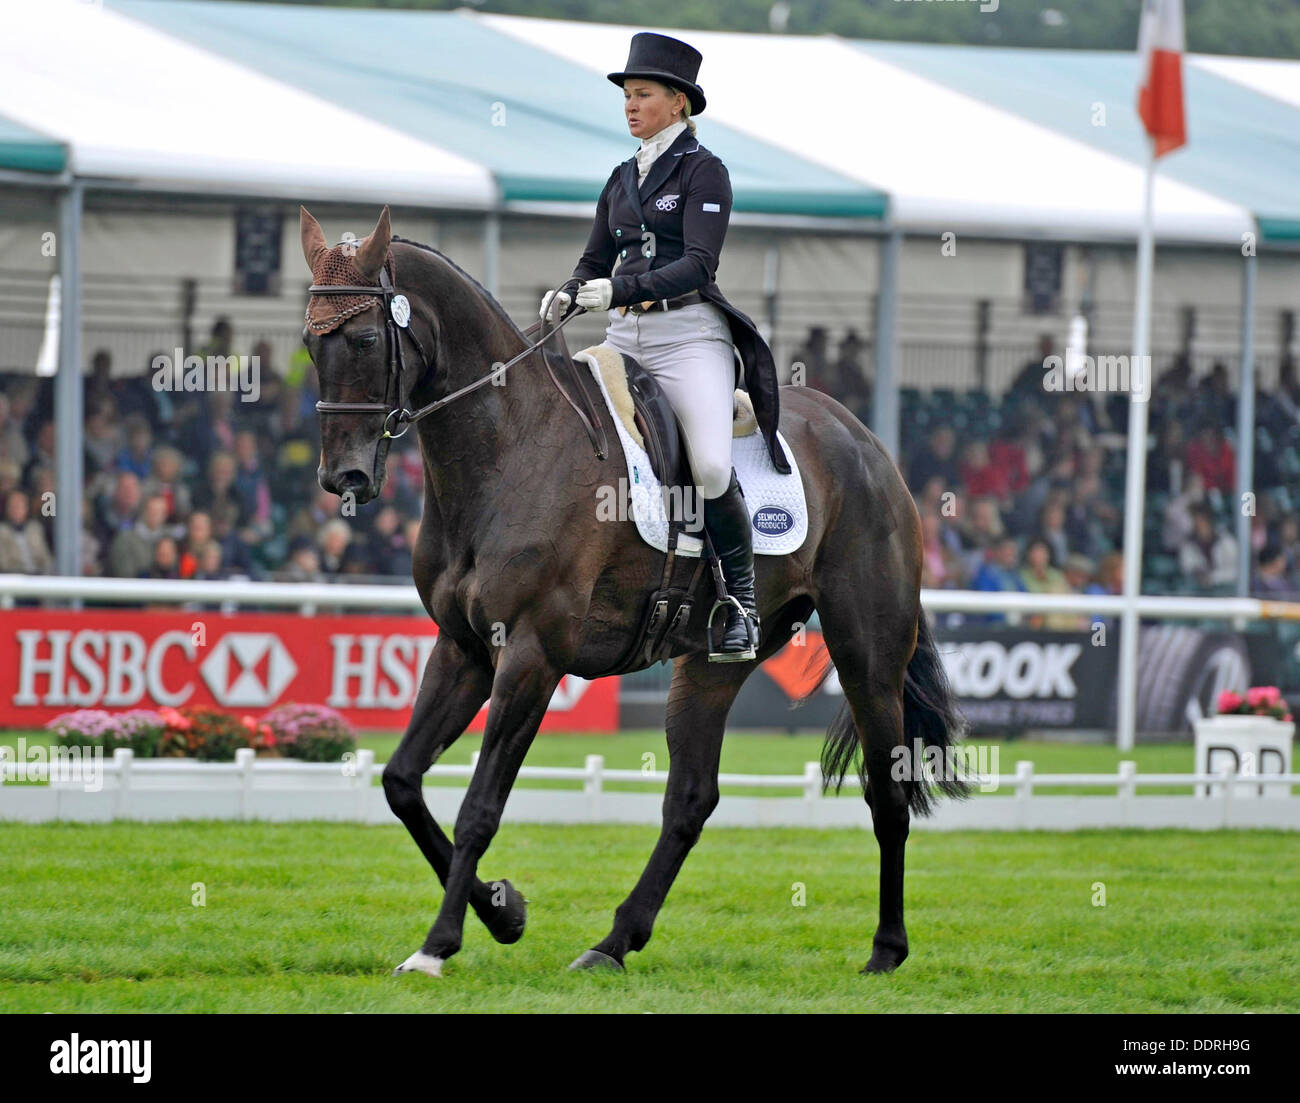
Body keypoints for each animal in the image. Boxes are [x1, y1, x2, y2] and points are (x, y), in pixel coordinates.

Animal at [297, 204, 967, 972]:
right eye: (310, 344)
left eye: (367, 338)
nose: (344, 479)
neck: (511, 447)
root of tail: (867, 442)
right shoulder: (463, 648)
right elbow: (402, 781)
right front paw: (503, 911)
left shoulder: (531, 656)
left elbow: (478, 809)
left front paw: (440, 944)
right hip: (711, 663)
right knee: (691, 798)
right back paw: (614, 942)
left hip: (867, 654)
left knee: (887, 791)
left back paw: (886, 950)